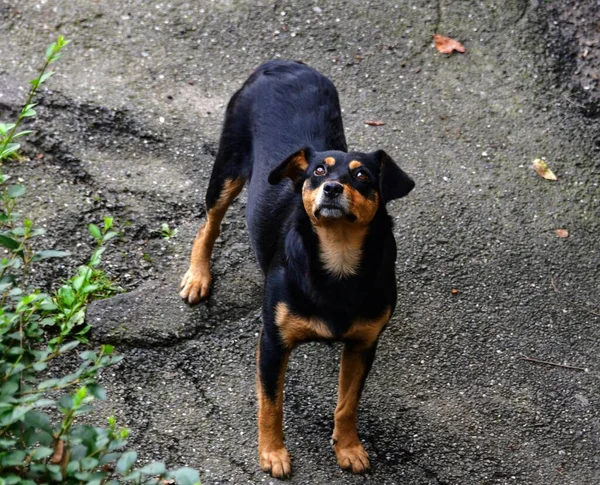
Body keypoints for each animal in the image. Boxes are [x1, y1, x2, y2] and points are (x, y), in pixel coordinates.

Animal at [179, 59, 412, 476]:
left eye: (362, 175)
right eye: (318, 172)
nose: (332, 188)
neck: (338, 257)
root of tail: (283, 64)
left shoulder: (363, 345)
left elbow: (347, 404)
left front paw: (348, 447)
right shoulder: (272, 342)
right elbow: (271, 403)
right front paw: (272, 453)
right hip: (227, 170)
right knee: (209, 223)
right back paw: (198, 277)